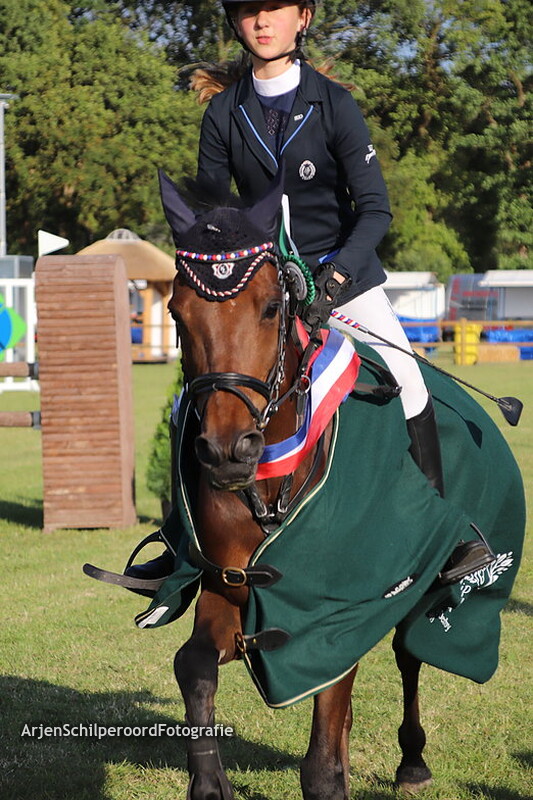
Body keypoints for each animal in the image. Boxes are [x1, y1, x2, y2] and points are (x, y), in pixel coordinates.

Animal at [86, 170, 525, 800]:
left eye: (272, 308)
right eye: (176, 312)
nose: (228, 451)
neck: (271, 477)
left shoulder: (339, 611)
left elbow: (321, 750)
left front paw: (331, 773)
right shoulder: (232, 584)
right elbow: (193, 665)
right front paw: (208, 782)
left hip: (422, 588)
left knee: (409, 657)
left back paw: (413, 761)